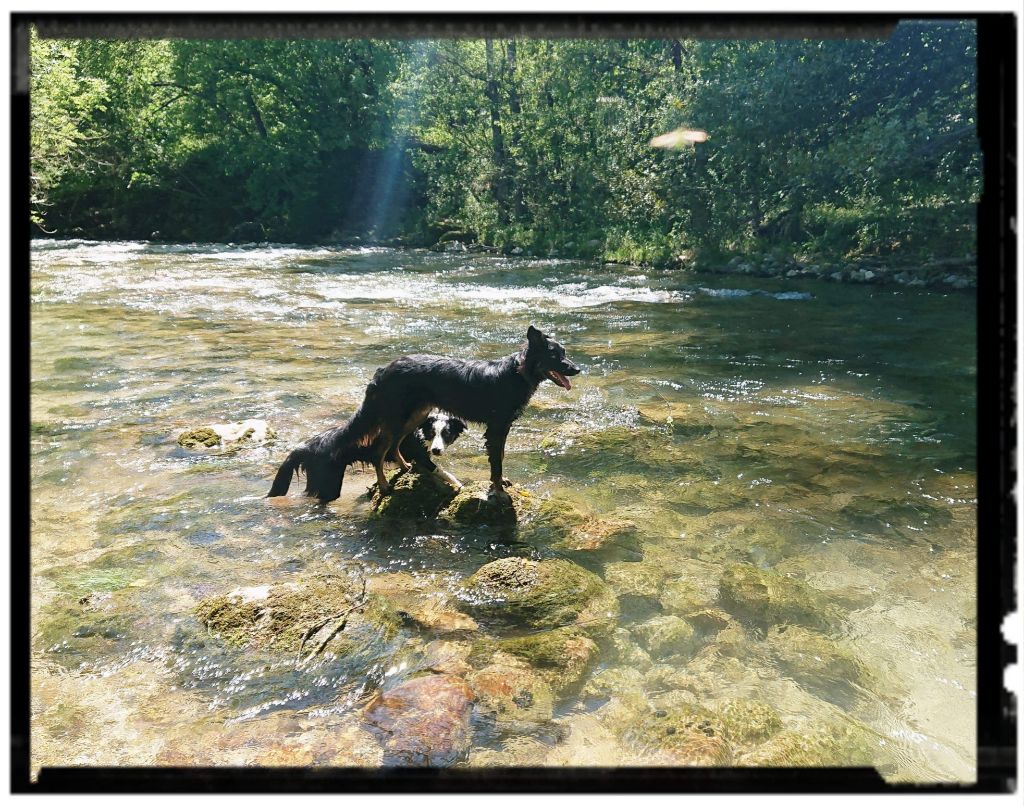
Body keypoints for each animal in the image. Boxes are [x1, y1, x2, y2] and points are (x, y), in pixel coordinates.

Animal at [268, 413, 468, 501]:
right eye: (433, 433)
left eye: (447, 434)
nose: (437, 450)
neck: (419, 430)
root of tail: (308, 446)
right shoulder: (421, 455)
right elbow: (444, 472)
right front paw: (460, 485)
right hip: (329, 482)